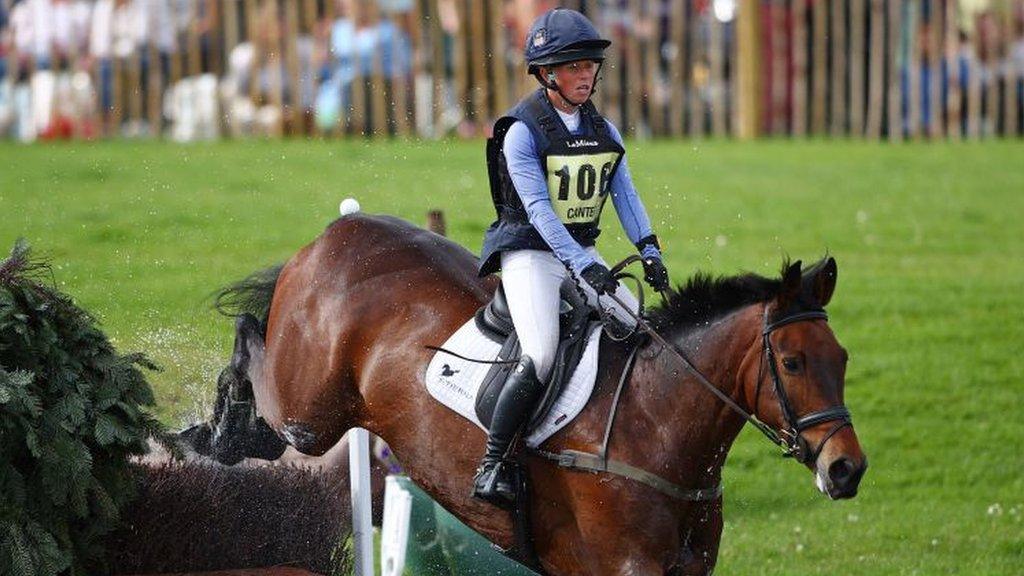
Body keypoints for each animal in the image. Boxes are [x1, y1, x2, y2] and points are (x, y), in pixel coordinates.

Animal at [199, 212, 864, 573]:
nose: (847, 468)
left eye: (842, 359)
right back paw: (217, 431)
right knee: (253, 349)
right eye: (793, 362)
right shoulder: (624, 567)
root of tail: (335, 234)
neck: (656, 421)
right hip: (310, 413)